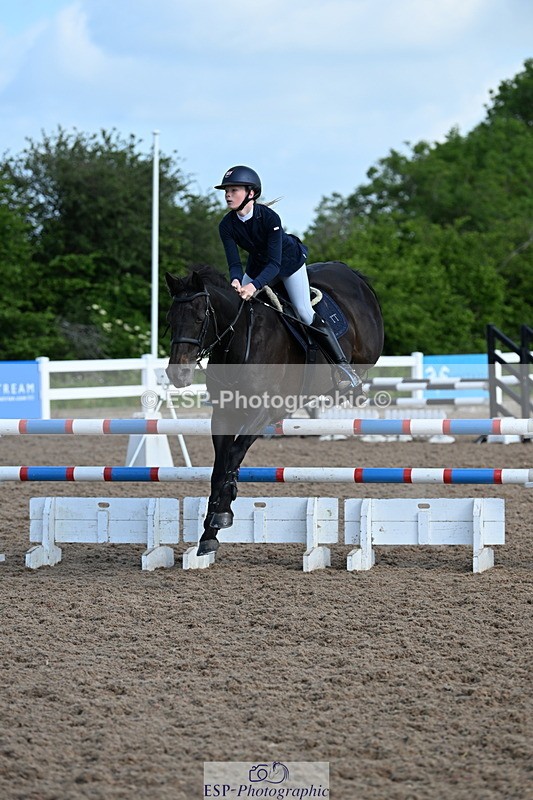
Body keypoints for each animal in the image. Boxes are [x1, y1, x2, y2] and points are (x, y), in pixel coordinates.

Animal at [165, 261, 384, 557]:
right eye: (170, 319)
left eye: (200, 318)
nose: (178, 374)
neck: (240, 339)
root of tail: (348, 271)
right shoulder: (223, 415)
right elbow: (220, 467)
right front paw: (209, 534)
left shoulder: (263, 412)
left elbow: (234, 454)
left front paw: (222, 511)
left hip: (367, 349)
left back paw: (348, 382)